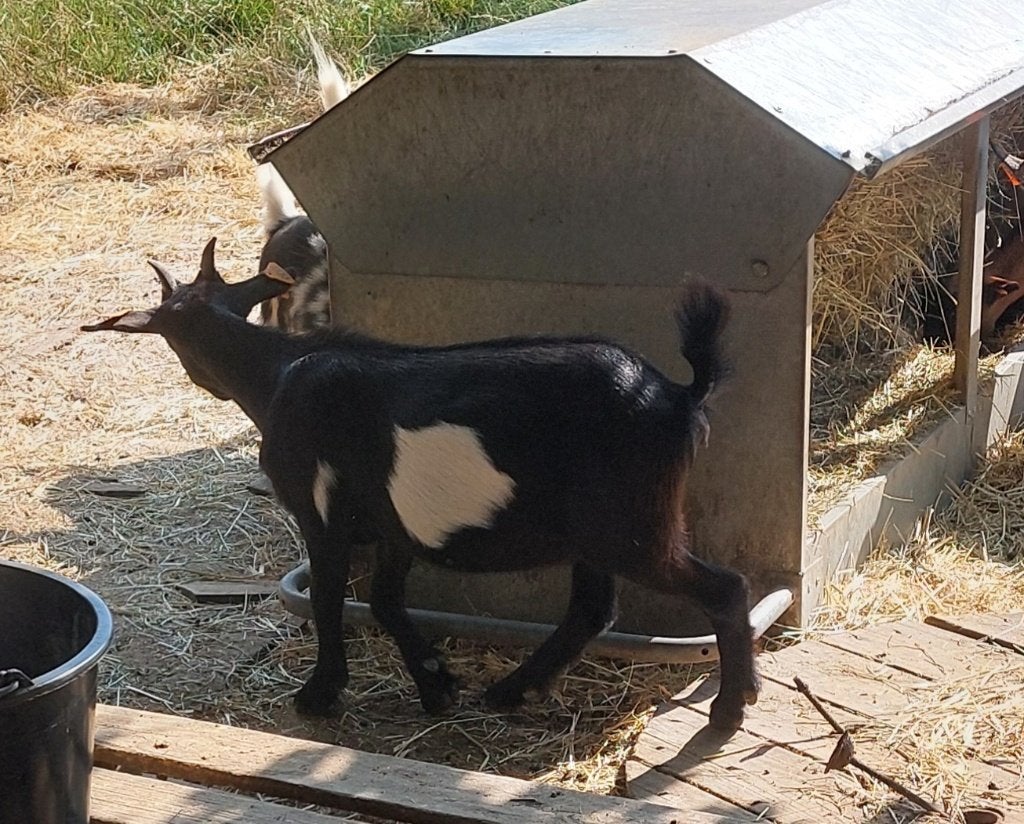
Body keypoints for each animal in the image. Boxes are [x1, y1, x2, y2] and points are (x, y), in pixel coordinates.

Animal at [83, 238, 760, 731]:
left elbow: (330, 599)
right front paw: (436, 682)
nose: (207, 384)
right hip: (598, 533)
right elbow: (385, 600)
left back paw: (729, 709)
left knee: (724, 588)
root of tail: (679, 395)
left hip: (632, 525)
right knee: (593, 608)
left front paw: (320, 694)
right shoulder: (392, 527)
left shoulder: (320, 513)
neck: (281, 374)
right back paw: (513, 690)